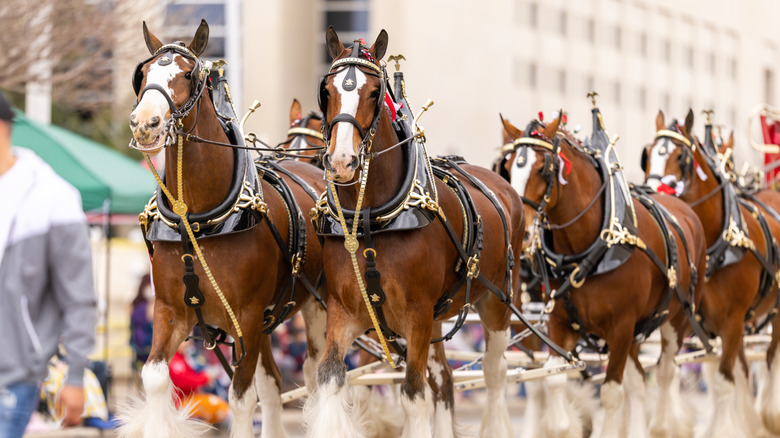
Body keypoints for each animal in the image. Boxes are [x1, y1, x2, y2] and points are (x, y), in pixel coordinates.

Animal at [119, 21, 330, 438]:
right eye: (143, 74)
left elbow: (242, 398)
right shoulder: (169, 309)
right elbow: (155, 378)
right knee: (275, 382)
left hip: (316, 306)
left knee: (318, 372)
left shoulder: (246, 317)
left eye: (189, 75)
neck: (198, 220)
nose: (145, 124)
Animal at [302, 27, 528, 438]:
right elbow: (330, 377)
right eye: (326, 90)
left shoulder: (417, 314)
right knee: (444, 381)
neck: (372, 219)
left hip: (497, 303)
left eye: (375, 92)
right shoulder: (344, 311)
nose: (342, 162)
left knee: (494, 374)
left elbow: (413, 394)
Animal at [502, 115, 708, 438]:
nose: (520, 231)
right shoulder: (559, 324)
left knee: (664, 372)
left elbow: (611, 392)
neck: (587, 250)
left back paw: (663, 426)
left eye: (543, 168)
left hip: (675, 320)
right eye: (509, 166)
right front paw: (566, 426)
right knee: (638, 380)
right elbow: (554, 380)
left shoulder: (621, 326)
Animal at [640, 111, 780, 438]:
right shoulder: (695, 321)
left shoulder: (732, 321)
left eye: (681, 157)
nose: (651, 192)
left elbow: (723, 380)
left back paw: (770, 415)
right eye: (648, 155)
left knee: (770, 358)